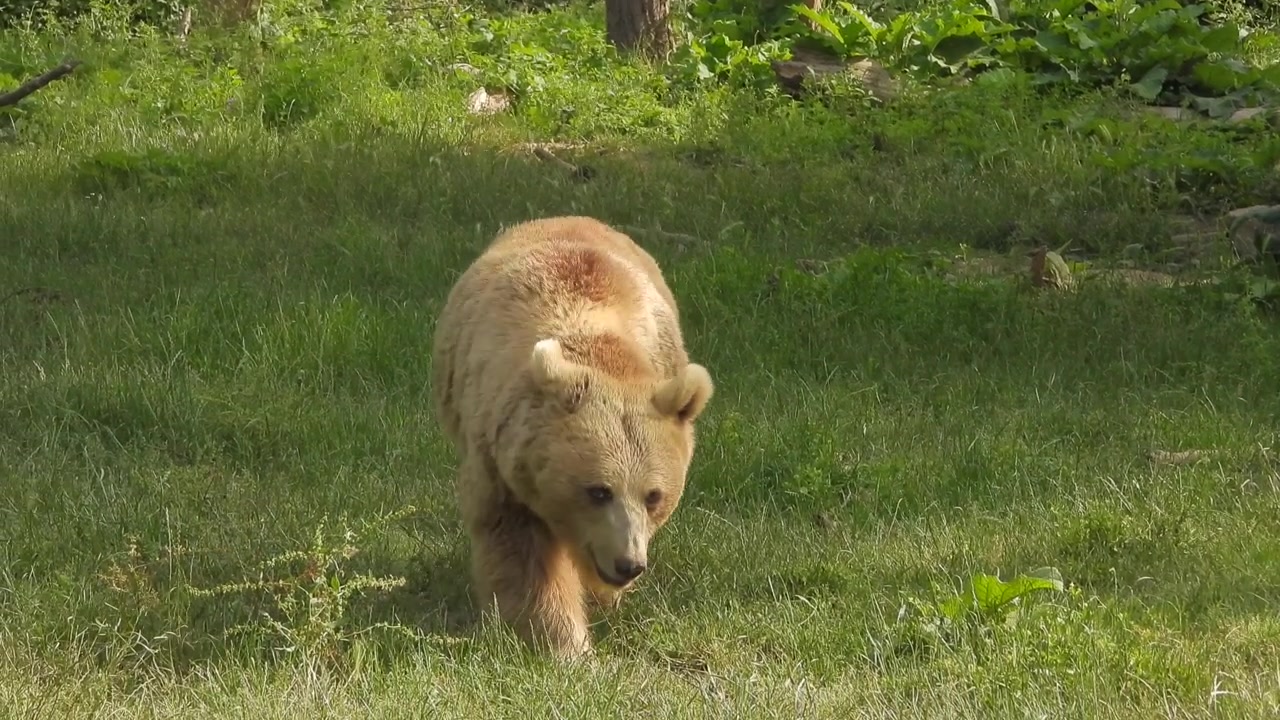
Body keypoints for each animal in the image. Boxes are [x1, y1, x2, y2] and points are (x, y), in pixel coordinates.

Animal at [430, 215, 714, 660]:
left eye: (654, 495)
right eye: (598, 490)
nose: (629, 564)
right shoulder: (502, 462)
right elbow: (523, 554)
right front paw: (565, 645)